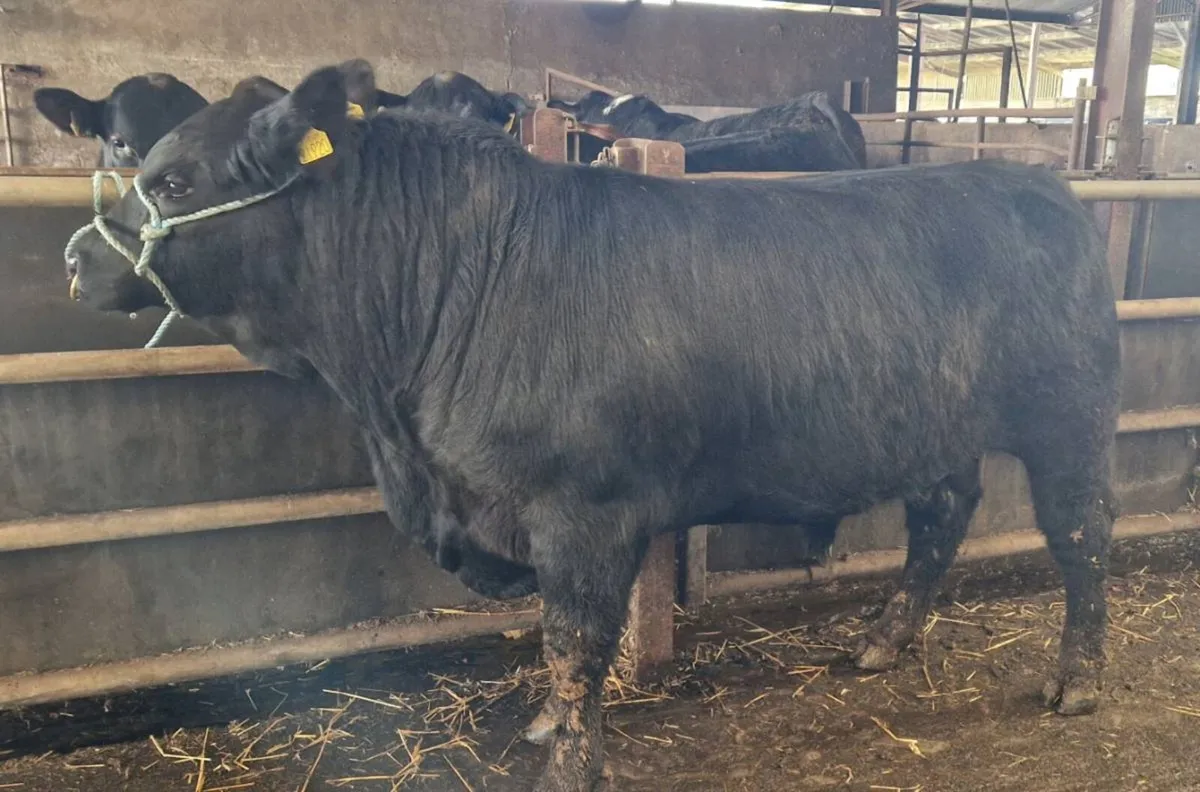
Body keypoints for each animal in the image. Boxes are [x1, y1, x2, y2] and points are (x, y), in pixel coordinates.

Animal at [63, 60, 1120, 792]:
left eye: (177, 182)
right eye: (130, 154)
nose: (76, 258)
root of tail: (1037, 186)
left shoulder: (584, 511)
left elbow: (574, 638)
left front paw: (569, 760)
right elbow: (555, 640)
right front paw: (546, 726)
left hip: (1070, 418)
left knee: (1080, 537)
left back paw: (1080, 680)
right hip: (936, 424)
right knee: (941, 513)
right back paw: (881, 642)